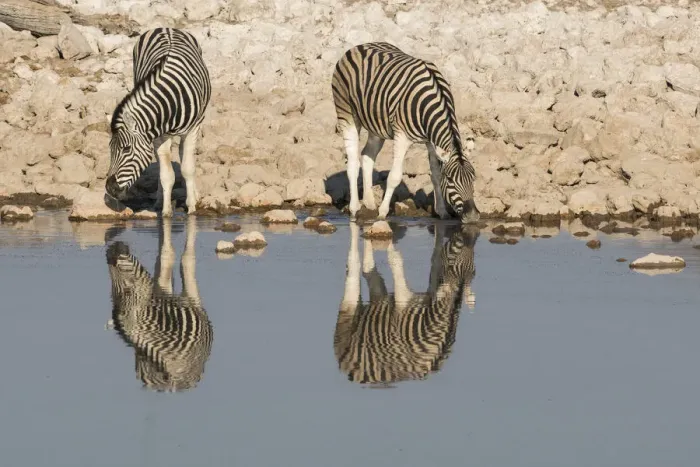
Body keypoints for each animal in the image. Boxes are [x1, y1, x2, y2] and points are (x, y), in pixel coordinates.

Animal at [105, 27, 211, 217]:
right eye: (110, 148)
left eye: (126, 149)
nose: (110, 189)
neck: (170, 100)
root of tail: (165, 28)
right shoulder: (158, 135)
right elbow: (166, 175)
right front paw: (166, 210)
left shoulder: (193, 128)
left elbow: (187, 168)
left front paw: (191, 206)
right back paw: (160, 199)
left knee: (185, 155)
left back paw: (193, 192)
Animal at [331, 42, 480, 223]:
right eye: (451, 180)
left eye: (473, 178)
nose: (472, 217)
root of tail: (358, 47)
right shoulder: (402, 136)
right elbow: (394, 177)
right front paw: (383, 213)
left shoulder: (431, 140)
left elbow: (435, 175)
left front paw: (442, 212)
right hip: (346, 113)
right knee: (352, 163)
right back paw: (354, 208)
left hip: (376, 125)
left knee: (367, 156)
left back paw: (369, 203)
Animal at [334, 222, 478, 385]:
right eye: (453, 261)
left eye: (474, 272)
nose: (471, 236)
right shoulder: (403, 301)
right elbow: (396, 259)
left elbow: (433, 264)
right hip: (348, 315)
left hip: (377, 307)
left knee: (368, 270)